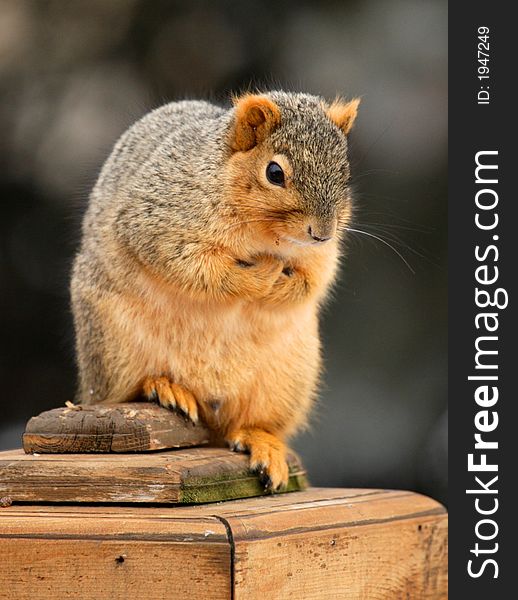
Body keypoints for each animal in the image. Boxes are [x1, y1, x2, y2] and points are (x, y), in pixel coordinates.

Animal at [70, 91, 362, 490]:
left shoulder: (320, 258)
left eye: (345, 174)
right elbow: (199, 269)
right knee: (126, 390)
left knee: (248, 424)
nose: (322, 232)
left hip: (286, 379)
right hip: (114, 346)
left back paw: (261, 443)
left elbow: (312, 281)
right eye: (274, 173)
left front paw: (280, 285)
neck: (264, 235)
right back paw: (164, 387)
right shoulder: (157, 220)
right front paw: (261, 278)